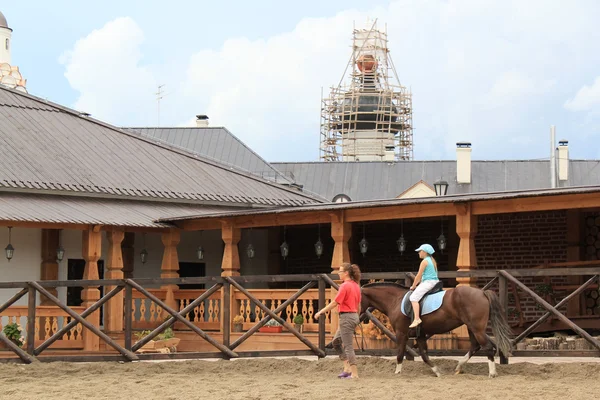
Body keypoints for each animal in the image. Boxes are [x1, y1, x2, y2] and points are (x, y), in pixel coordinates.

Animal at [358, 282, 512, 378]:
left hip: (476, 328)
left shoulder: (401, 334)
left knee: (487, 347)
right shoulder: (420, 335)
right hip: (471, 328)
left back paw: (492, 373)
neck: (396, 300)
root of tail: (482, 292)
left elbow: (400, 354)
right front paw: (437, 371)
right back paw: (459, 367)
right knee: (475, 346)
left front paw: (397, 373)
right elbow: (424, 355)